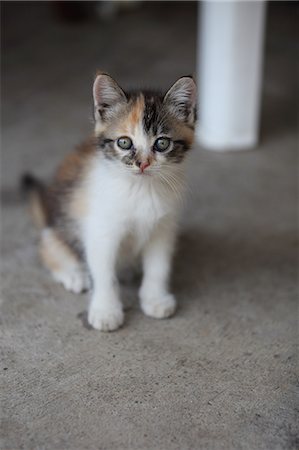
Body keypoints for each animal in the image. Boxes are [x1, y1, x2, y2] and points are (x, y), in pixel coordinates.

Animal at [23, 73, 197, 330]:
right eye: (124, 142)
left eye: (162, 143)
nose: (142, 164)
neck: (141, 189)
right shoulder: (101, 230)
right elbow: (104, 274)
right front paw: (106, 311)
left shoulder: (164, 228)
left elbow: (159, 267)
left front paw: (155, 299)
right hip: (61, 223)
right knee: (47, 244)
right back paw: (73, 273)